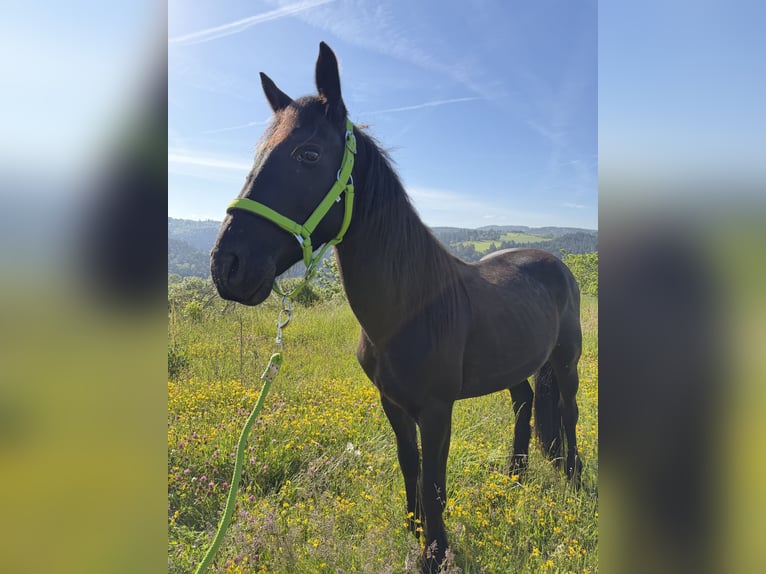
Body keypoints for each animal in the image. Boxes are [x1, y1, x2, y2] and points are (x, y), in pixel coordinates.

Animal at [210, 42, 583, 574]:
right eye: (258, 153)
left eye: (308, 154)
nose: (227, 266)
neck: (409, 308)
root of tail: (556, 264)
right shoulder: (393, 403)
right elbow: (410, 467)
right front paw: (416, 535)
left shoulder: (436, 409)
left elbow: (434, 480)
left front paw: (436, 552)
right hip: (516, 364)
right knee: (526, 404)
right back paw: (514, 478)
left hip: (566, 362)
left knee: (568, 413)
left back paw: (572, 477)